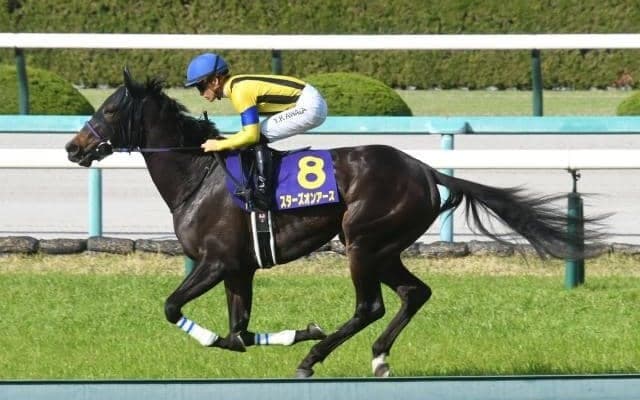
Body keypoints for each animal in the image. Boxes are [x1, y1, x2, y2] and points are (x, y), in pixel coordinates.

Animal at [65, 69, 605, 378]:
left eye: (108, 109)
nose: (73, 147)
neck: (199, 175)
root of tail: (426, 170)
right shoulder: (240, 268)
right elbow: (237, 334)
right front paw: (297, 332)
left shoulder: (216, 262)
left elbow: (173, 308)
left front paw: (301, 339)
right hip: (383, 246)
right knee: (414, 294)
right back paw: (378, 356)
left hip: (362, 241)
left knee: (370, 305)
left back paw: (313, 360)